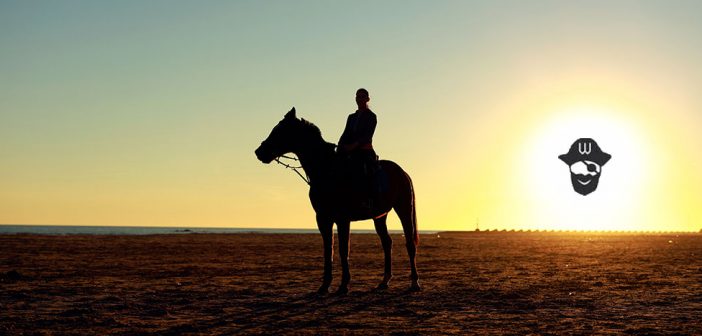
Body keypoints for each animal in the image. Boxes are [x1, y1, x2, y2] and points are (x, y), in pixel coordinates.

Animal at [256, 107, 420, 294]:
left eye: (280, 130)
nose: (259, 152)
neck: (327, 170)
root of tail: (403, 172)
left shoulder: (342, 219)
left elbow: (343, 249)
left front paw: (343, 285)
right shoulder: (323, 218)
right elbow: (329, 249)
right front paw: (324, 285)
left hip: (404, 209)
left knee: (409, 243)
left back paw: (414, 282)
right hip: (380, 216)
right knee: (387, 243)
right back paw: (384, 281)